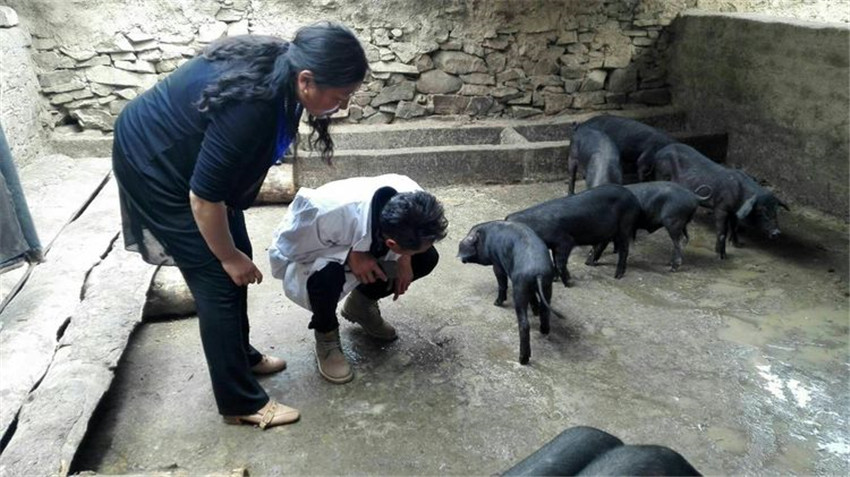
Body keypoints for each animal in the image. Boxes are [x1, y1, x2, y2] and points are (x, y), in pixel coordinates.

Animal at [458, 220, 564, 364]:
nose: (461, 258)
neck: (487, 236)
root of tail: (537, 272)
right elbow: (533, 298)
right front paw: (534, 310)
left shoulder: (497, 263)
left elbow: (501, 282)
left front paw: (496, 303)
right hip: (547, 285)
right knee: (545, 310)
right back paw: (544, 330)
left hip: (519, 287)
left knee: (524, 324)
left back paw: (522, 359)